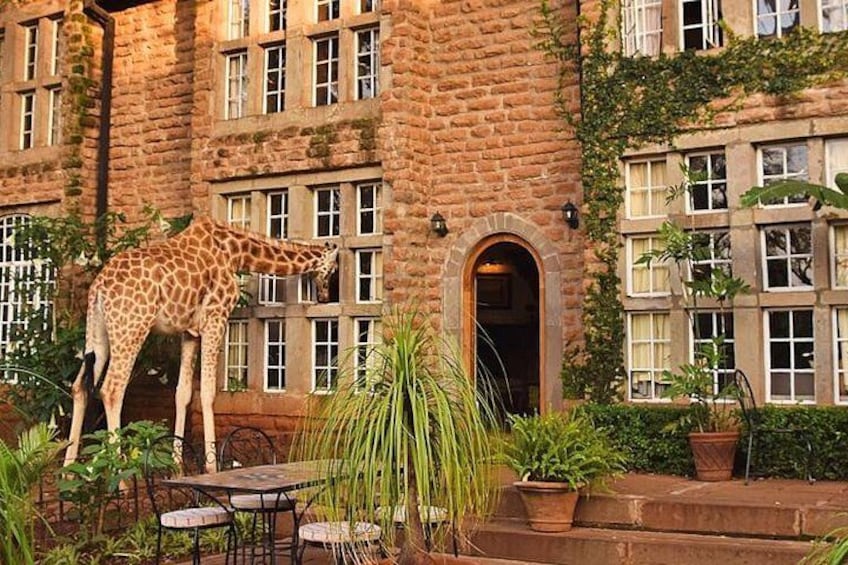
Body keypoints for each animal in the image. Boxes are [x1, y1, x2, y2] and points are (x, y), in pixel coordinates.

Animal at [63, 216, 339, 471]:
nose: (326, 296)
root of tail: (99, 287)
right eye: (333, 269)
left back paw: (69, 470)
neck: (236, 252)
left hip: (97, 330)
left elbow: (183, 393)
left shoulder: (190, 332)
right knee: (111, 390)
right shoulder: (215, 319)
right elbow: (207, 392)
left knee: (79, 387)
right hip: (131, 327)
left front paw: (177, 465)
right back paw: (119, 475)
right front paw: (211, 465)